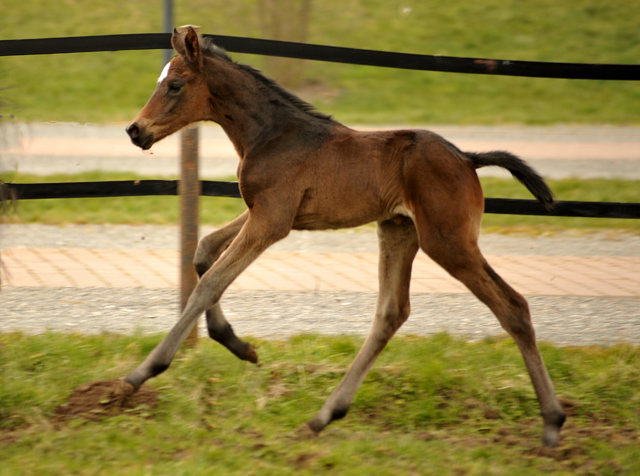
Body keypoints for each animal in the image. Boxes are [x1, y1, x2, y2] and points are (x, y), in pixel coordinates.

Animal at [125, 27, 564, 446]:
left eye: (174, 85)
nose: (134, 130)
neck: (271, 135)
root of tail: (467, 159)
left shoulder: (271, 220)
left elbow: (211, 281)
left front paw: (142, 372)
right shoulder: (267, 213)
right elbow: (203, 252)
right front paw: (238, 344)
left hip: (448, 241)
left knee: (513, 307)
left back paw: (553, 422)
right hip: (400, 231)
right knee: (391, 312)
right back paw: (323, 416)